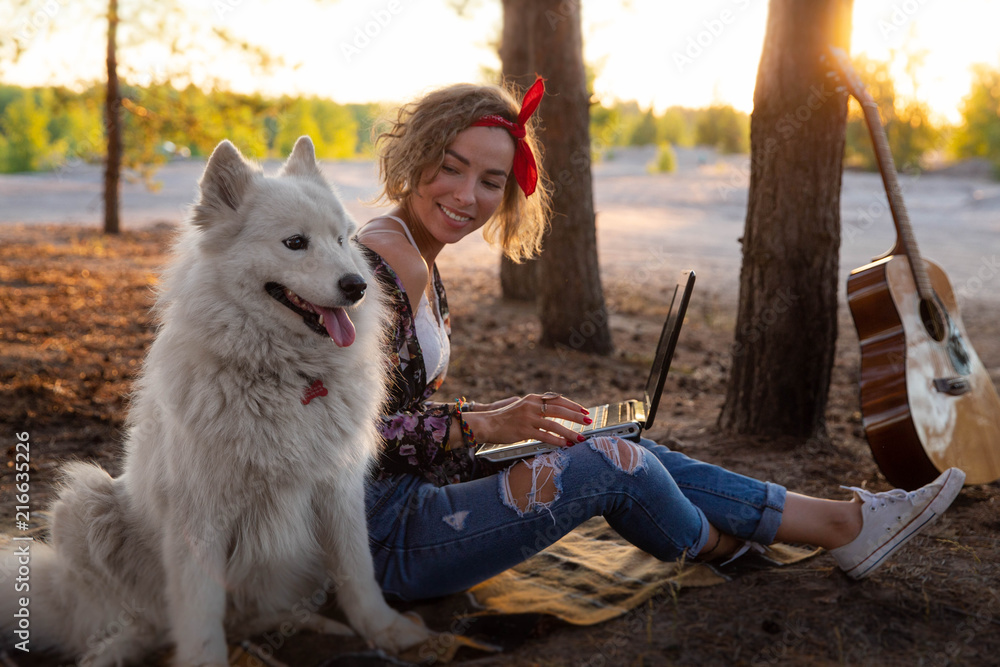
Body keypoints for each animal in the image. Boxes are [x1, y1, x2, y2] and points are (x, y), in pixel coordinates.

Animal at [0, 138, 430, 664]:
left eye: (343, 240)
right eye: (295, 243)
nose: (358, 286)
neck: (285, 376)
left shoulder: (338, 490)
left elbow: (358, 573)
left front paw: (384, 631)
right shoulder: (198, 516)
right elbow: (199, 613)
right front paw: (203, 657)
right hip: (83, 502)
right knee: (136, 620)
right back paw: (117, 648)